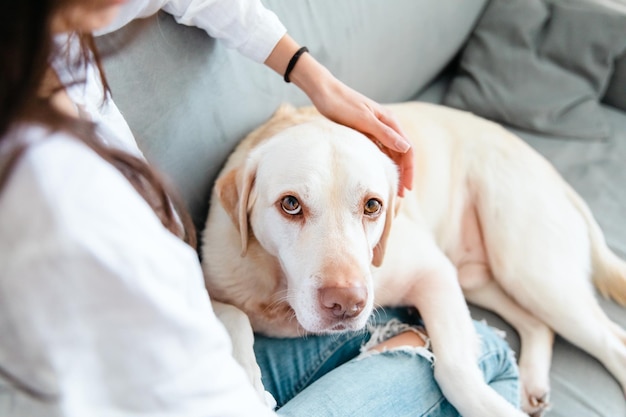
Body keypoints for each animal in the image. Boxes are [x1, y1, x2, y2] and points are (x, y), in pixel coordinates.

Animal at [201, 101, 624, 416]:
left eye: (373, 206)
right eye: (290, 204)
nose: (347, 304)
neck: (280, 288)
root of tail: (555, 175)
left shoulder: (433, 273)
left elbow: (454, 367)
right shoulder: (212, 282)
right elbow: (234, 317)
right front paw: (247, 382)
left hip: (527, 271)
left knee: (610, 339)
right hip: (480, 278)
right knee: (540, 325)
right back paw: (533, 381)